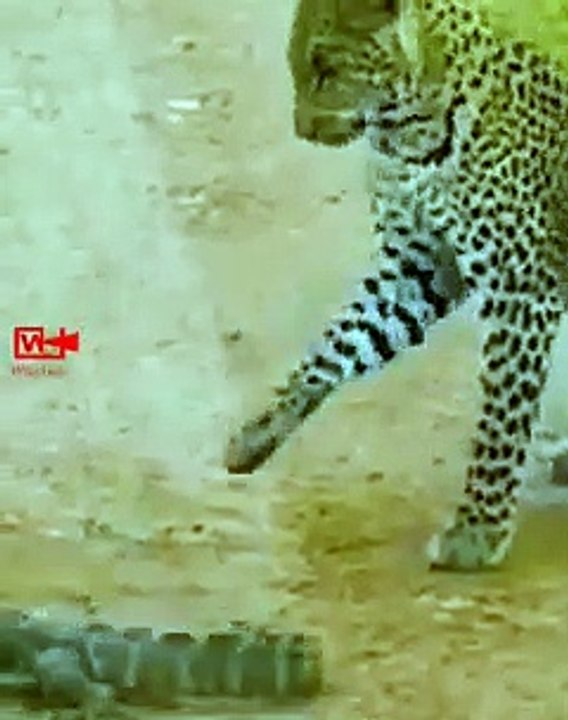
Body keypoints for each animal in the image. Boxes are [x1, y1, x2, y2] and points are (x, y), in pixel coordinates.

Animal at [225, 0, 568, 571]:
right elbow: (339, 342)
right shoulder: (419, 266)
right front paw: (259, 432)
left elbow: (500, 420)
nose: (301, 128)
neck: (416, 134)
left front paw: (476, 532)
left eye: (325, 68)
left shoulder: (522, 286)